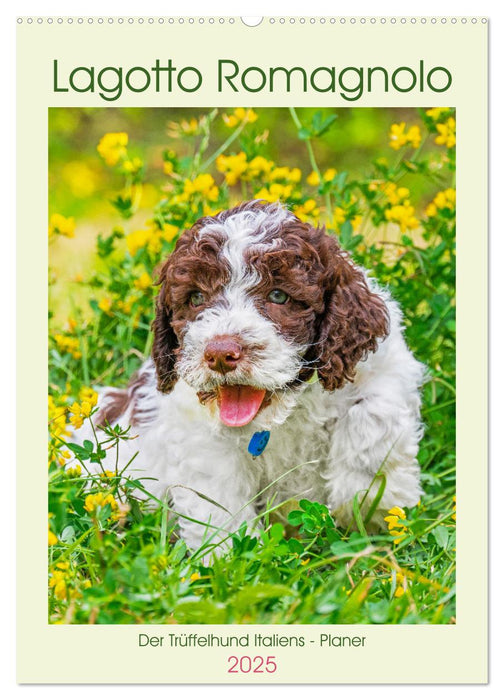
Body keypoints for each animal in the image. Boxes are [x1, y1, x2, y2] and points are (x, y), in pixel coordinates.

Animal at [77, 200, 424, 556]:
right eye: (196, 298)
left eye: (279, 296)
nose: (220, 354)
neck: (283, 413)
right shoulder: (202, 437)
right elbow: (218, 500)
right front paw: (229, 554)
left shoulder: (383, 368)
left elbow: (371, 418)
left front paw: (369, 503)